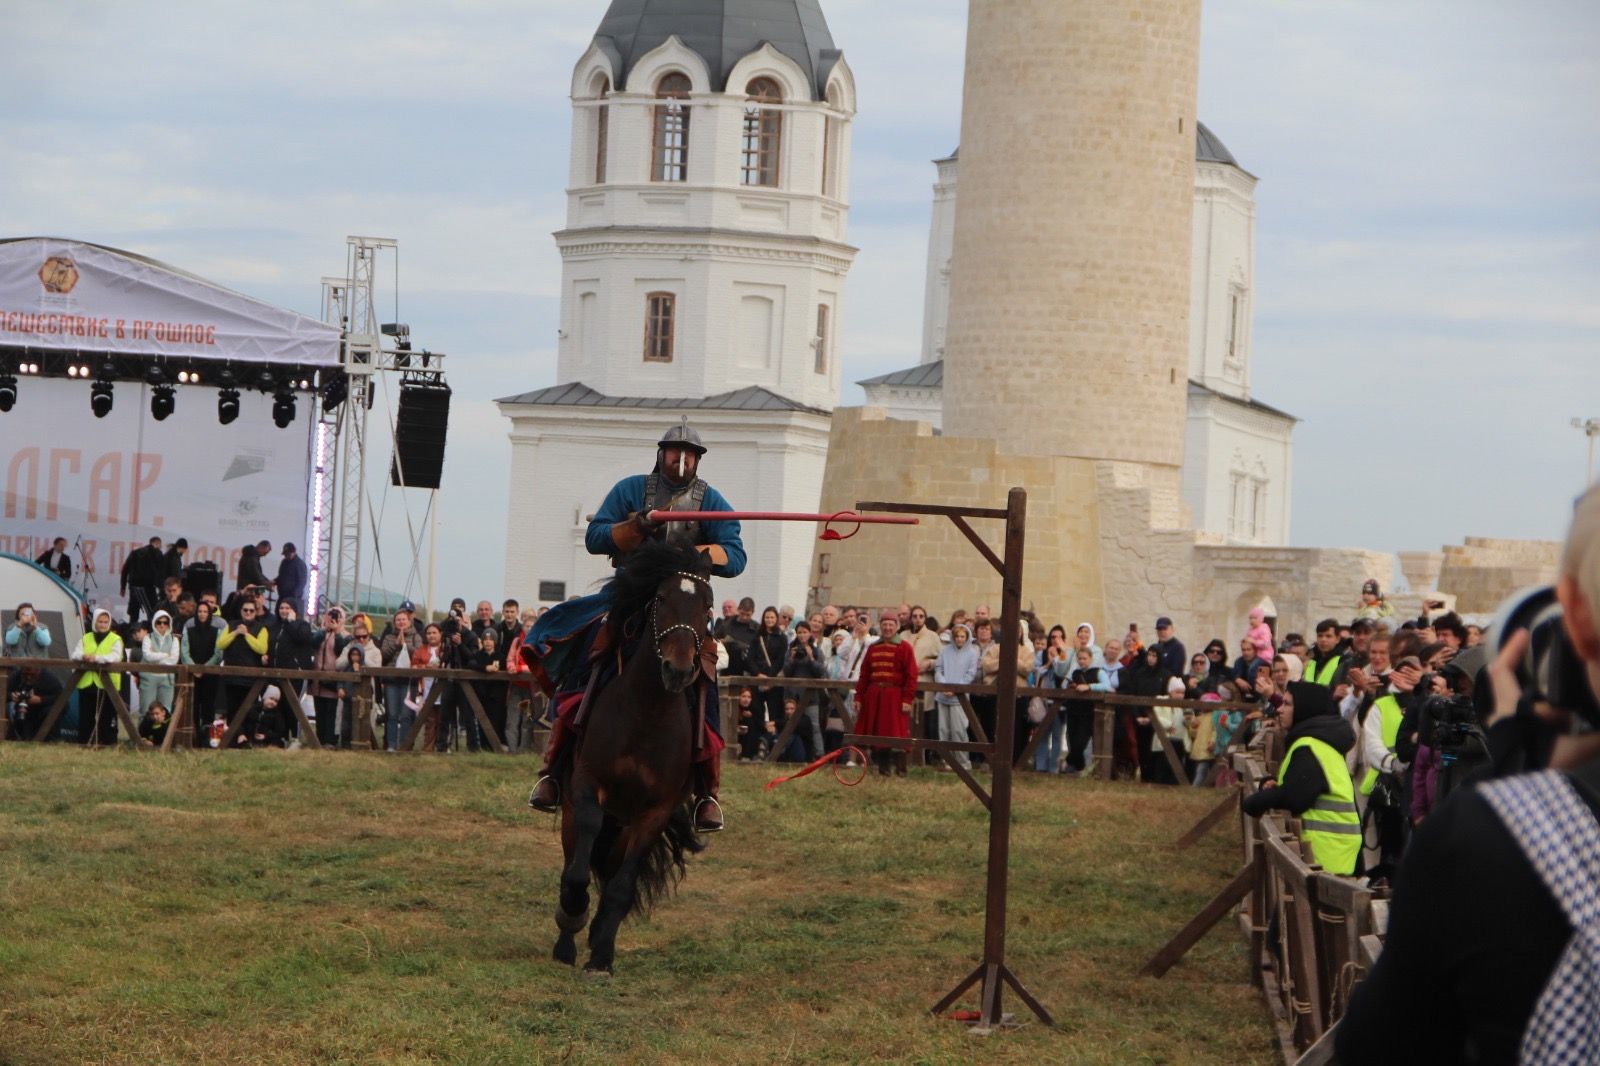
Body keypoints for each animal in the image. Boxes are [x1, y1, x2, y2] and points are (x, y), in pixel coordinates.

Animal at [553, 541, 710, 973]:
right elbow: (578, 871)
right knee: (575, 860)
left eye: (707, 606)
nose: (678, 669)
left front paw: (602, 955)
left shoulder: (654, 813)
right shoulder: (587, 785)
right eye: (661, 599)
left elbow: (622, 887)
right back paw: (567, 939)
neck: (647, 712)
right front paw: (573, 914)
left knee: (611, 871)